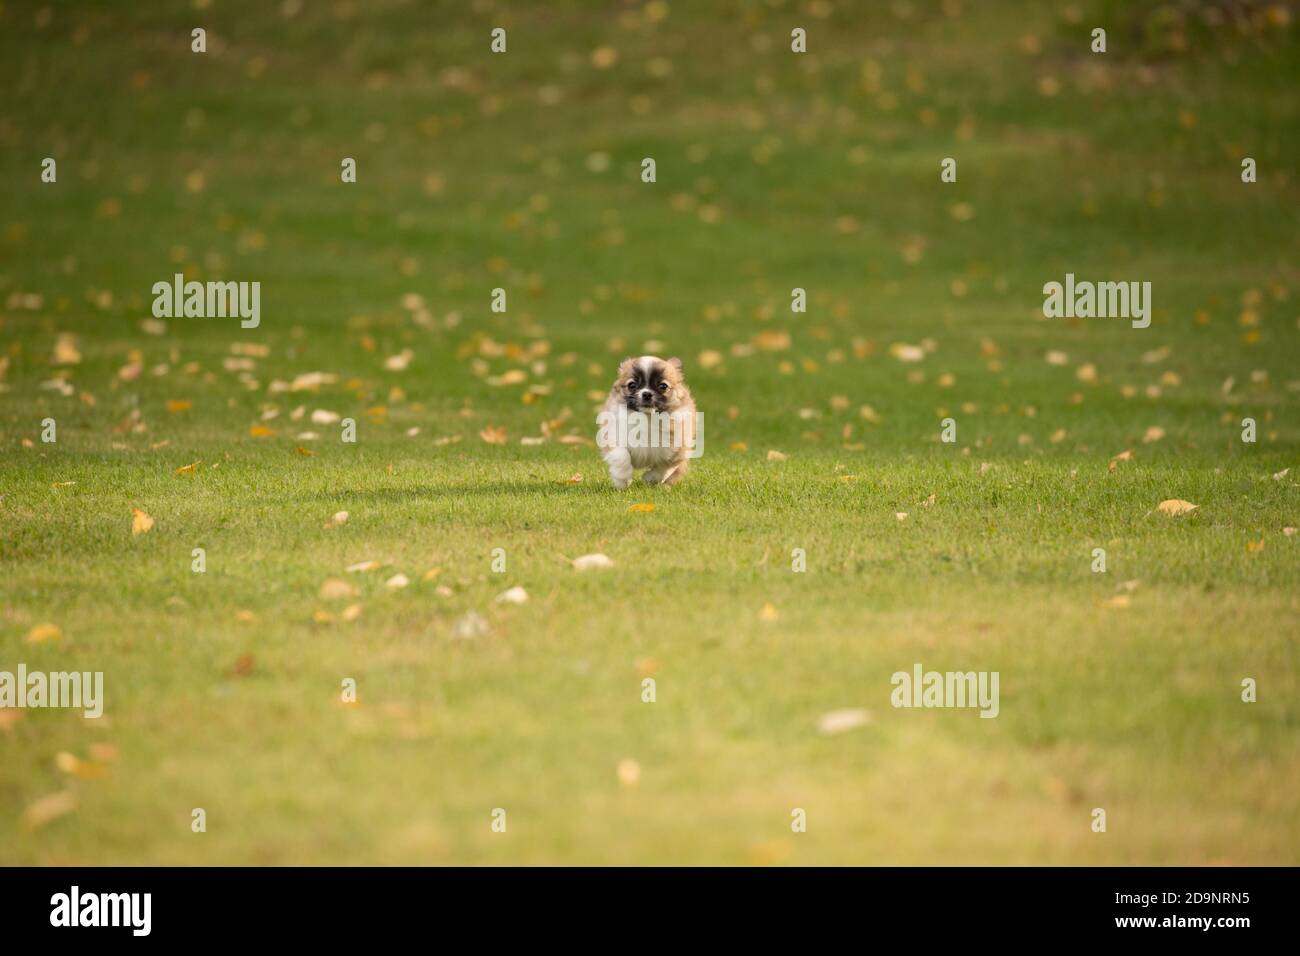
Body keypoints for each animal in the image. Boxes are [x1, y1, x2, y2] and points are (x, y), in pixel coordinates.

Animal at [600, 358, 702, 494]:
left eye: (663, 386)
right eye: (631, 385)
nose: (647, 394)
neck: (647, 419)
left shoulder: (677, 450)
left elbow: (664, 467)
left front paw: (649, 478)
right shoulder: (613, 436)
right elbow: (621, 456)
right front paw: (622, 481)